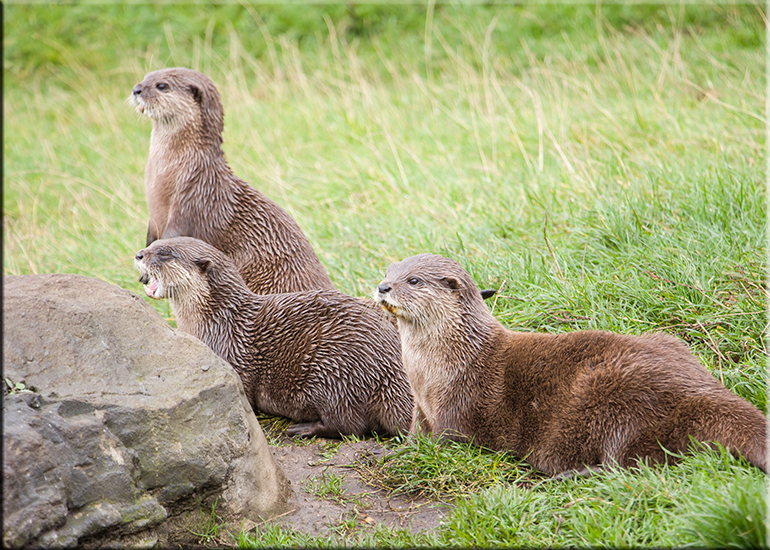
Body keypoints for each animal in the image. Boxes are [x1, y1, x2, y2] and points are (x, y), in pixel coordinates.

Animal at [134, 236, 412, 439]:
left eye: (165, 253)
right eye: (153, 244)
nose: (139, 254)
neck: (218, 321)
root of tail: (388, 370)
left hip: (333, 371)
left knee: (351, 425)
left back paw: (302, 428)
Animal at [374, 253, 767, 476]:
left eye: (413, 280)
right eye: (388, 272)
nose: (383, 287)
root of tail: (699, 390)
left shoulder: (455, 407)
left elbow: (450, 441)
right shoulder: (421, 410)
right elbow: (414, 436)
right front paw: (399, 449)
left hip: (612, 395)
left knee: (631, 466)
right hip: (669, 345)